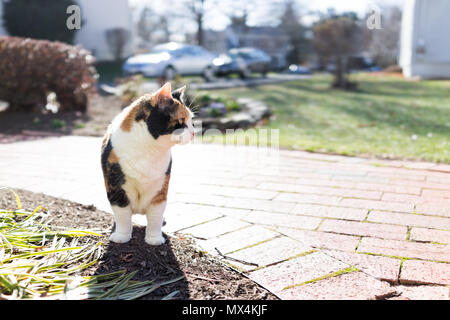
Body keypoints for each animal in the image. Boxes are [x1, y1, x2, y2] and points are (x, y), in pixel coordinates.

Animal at [101, 82, 194, 245]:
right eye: (181, 121)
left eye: (192, 120)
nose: (194, 133)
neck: (149, 149)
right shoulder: (116, 187)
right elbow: (123, 215)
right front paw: (122, 236)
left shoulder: (160, 190)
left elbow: (155, 216)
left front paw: (154, 238)